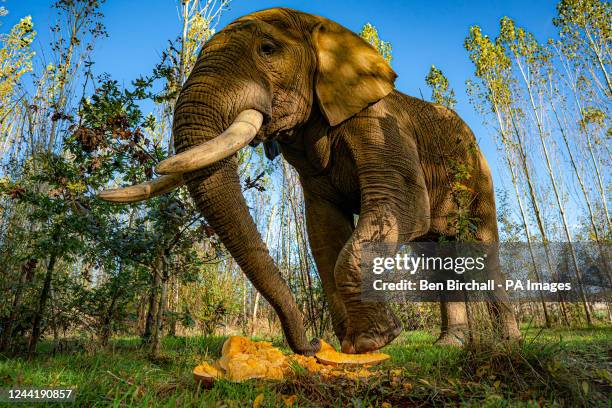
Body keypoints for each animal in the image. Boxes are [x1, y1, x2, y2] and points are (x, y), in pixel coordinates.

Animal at [98, 7, 520, 356]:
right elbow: (324, 231)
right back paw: (450, 344)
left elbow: (403, 206)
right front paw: (353, 345)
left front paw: (373, 341)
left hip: (479, 175)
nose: (312, 344)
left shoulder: (380, 124)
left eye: (267, 49)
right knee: (435, 258)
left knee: (482, 249)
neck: (327, 31)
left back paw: (506, 342)